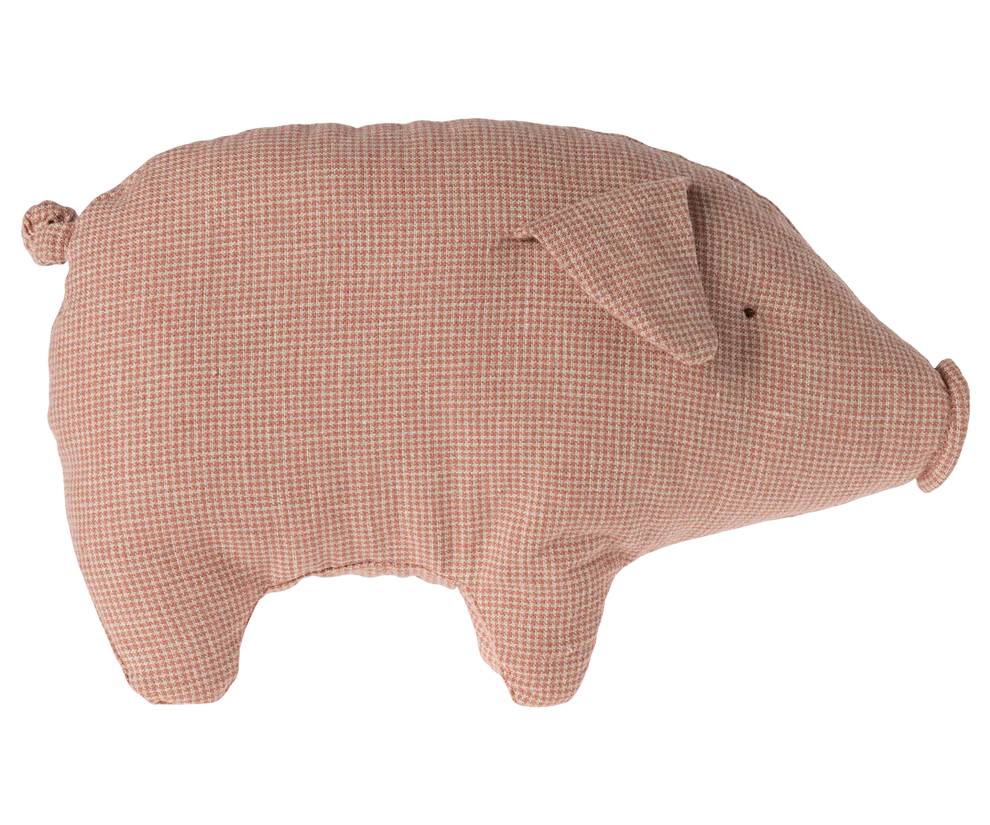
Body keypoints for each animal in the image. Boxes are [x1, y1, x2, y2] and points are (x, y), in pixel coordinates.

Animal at [32, 118, 972, 709]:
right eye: (750, 313)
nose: (954, 394)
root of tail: (81, 223)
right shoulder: (539, 537)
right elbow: (538, 647)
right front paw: (546, 702)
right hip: (146, 546)